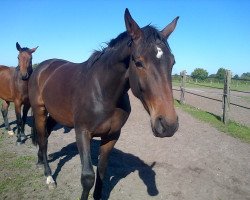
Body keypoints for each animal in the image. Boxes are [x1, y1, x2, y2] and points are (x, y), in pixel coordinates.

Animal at [28, 8, 179, 199]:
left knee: (45, 135)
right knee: (42, 139)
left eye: (172, 62)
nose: (168, 124)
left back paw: (40, 161)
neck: (103, 92)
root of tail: (43, 67)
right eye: (138, 62)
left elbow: (102, 169)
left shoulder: (112, 135)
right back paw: (49, 177)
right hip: (39, 110)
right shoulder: (82, 133)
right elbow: (87, 177)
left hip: (55, 114)